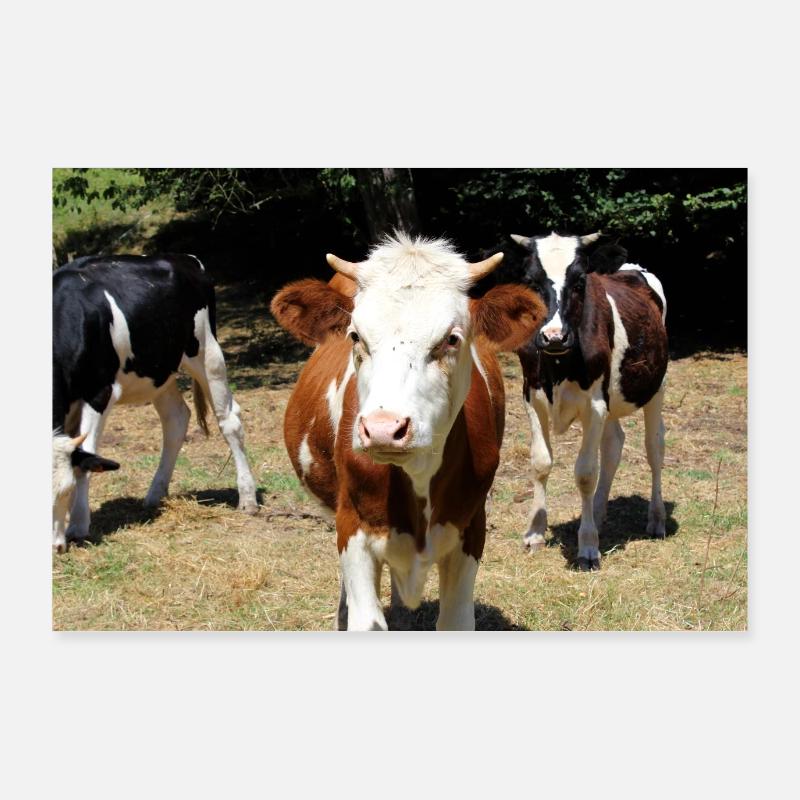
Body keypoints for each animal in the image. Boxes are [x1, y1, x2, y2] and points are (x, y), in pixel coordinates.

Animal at [52, 254, 258, 553]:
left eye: (65, 491)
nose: (54, 547)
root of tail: (186, 260)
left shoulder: (100, 393)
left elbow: (86, 458)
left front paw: (78, 525)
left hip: (207, 352)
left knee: (230, 422)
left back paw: (247, 497)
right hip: (161, 371)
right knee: (176, 418)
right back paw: (155, 493)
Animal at [270, 234, 546, 630]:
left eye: (451, 338)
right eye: (355, 336)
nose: (384, 429)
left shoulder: (471, 526)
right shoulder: (351, 526)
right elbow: (366, 619)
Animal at [510, 232, 668, 570]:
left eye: (580, 281)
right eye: (530, 280)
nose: (554, 336)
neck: (558, 363)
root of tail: (630, 268)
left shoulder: (595, 404)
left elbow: (584, 473)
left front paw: (588, 547)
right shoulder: (532, 396)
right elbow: (541, 463)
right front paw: (535, 533)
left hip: (656, 388)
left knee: (654, 448)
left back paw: (656, 519)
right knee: (614, 444)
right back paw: (596, 511)